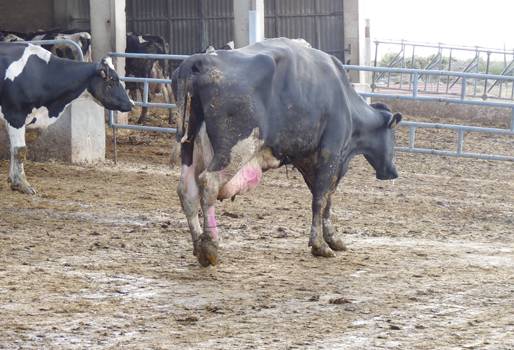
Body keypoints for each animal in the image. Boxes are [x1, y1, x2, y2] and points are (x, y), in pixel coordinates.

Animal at [0, 42, 132, 194]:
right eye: (112, 80)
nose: (131, 104)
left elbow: (13, 149)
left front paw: (13, 180)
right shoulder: (15, 115)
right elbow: (20, 150)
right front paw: (22, 184)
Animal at [172, 37, 400, 266]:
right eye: (393, 136)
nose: (393, 172)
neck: (345, 102)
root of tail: (201, 60)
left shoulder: (307, 159)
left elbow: (325, 198)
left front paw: (333, 238)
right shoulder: (331, 153)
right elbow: (321, 199)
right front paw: (319, 245)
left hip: (190, 145)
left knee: (187, 190)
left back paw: (198, 245)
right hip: (236, 149)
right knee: (208, 183)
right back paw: (210, 246)